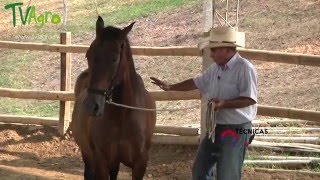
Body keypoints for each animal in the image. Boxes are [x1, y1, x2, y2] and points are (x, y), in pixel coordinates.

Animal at [72, 16, 158, 179]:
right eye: (88, 55)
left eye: (114, 59)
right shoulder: (101, 162)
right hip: (87, 154)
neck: (123, 116)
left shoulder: (140, 164)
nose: (91, 106)